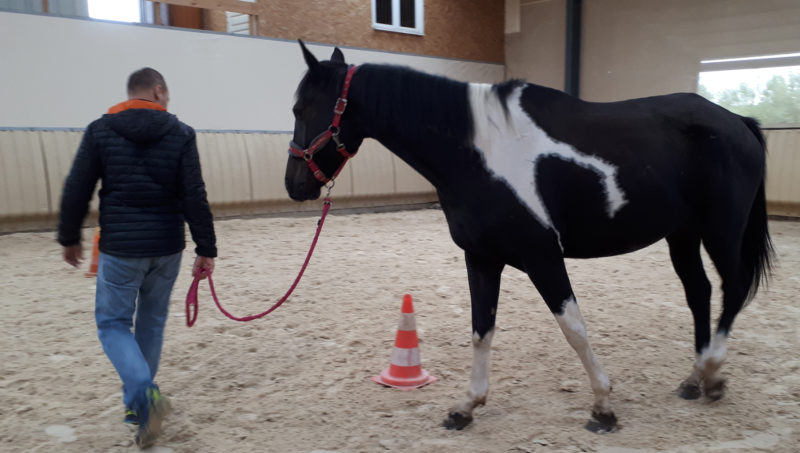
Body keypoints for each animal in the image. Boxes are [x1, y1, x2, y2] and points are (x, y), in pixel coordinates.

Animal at [282, 41, 776, 430]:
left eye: (301, 109)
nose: (294, 185)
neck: (477, 151)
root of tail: (738, 122)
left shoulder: (543, 257)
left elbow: (573, 328)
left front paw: (603, 406)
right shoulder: (482, 258)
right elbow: (481, 330)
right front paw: (466, 407)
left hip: (721, 230)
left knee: (732, 288)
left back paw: (712, 374)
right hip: (682, 234)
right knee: (700, 291)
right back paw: (694, 378)